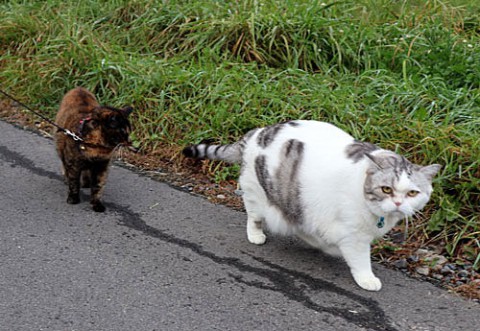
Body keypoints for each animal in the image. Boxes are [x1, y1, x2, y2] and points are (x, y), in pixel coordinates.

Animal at [182, 120, 440, 292]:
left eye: (412, 193)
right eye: (386, 189)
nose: (398, 202)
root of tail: (258, 132)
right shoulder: (353, 235)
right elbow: (360, 258)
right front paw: (366, 278)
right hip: (257, 192)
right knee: (254, 215)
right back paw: (256, 234)